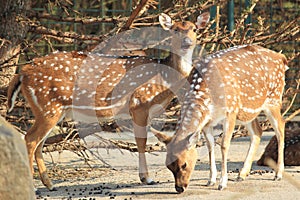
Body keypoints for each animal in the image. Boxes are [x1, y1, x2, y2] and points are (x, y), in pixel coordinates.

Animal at [5, 11, 210, 191]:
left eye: (194, 29)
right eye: (174, 29)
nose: (186, 42)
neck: (164, 78)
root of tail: (23, 73)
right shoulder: (139, 104)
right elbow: (141, 141)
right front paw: (147, 178)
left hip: (51, 109)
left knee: (39, 143)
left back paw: (49, 184)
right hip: (48, 106)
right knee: (30, 139)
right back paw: (34, 186)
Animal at [152, 44, 288, 193]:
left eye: (184, 164)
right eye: (168, 166)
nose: (179, 188)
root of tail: (282, 58)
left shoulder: (231, 111)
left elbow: (223, 144)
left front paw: (222, 183)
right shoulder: (208, 121)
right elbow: (210, 145)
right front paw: (210, 180)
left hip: (274, 99)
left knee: (280, 127)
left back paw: (278, 174)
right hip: (248, 110)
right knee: (257, 132)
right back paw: (242, 174)